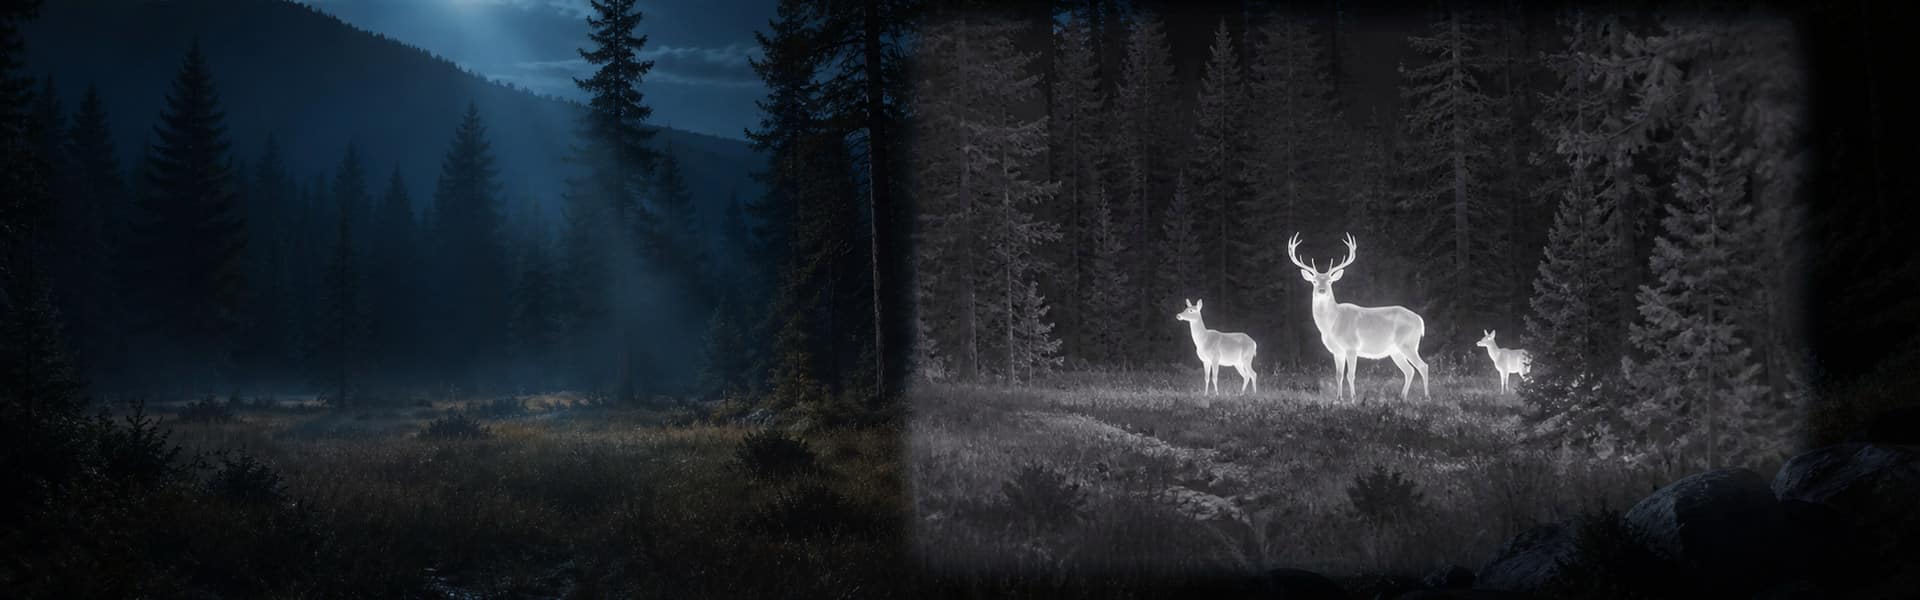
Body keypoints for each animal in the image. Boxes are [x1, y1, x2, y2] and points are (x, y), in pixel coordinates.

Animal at [1287, 233, 1430, 401]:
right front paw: (1338, 399)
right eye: (1314, 281)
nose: (1322, 290)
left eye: (1329, 281)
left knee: (1423, 366)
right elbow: (1338, 375)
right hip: (1395, 350)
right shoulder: (1337, 351)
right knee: (1409, 370)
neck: (1332, 324)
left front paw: (1353, 398)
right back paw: (1402, 397)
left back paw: (1426, 397)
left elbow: (1351, 375)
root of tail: (1419, 320)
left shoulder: (1351, 346)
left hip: (1408, 343)